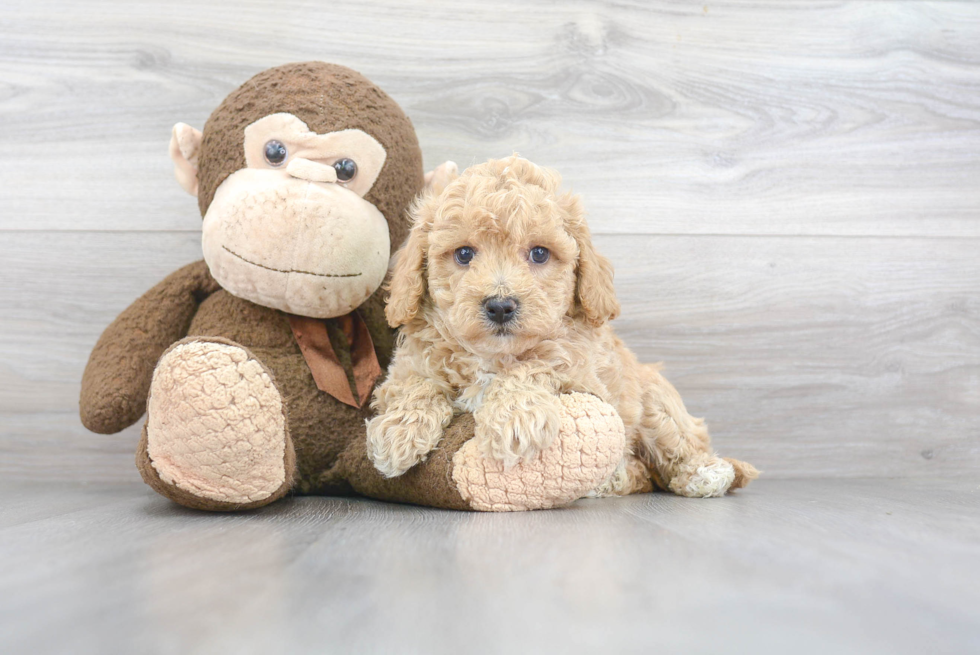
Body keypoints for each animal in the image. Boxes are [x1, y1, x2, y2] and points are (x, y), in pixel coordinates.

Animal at [368, 158, 756, 498]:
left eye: (539, 253)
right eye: (463, 254)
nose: (500, 306)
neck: (493, 357)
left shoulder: (585, 381)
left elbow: (537, 364)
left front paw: (515, 420)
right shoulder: (403, 369)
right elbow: (416, 383)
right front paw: (397, 433)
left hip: (655, 402)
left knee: (677, 447)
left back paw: (705, 473)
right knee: (642, 473)